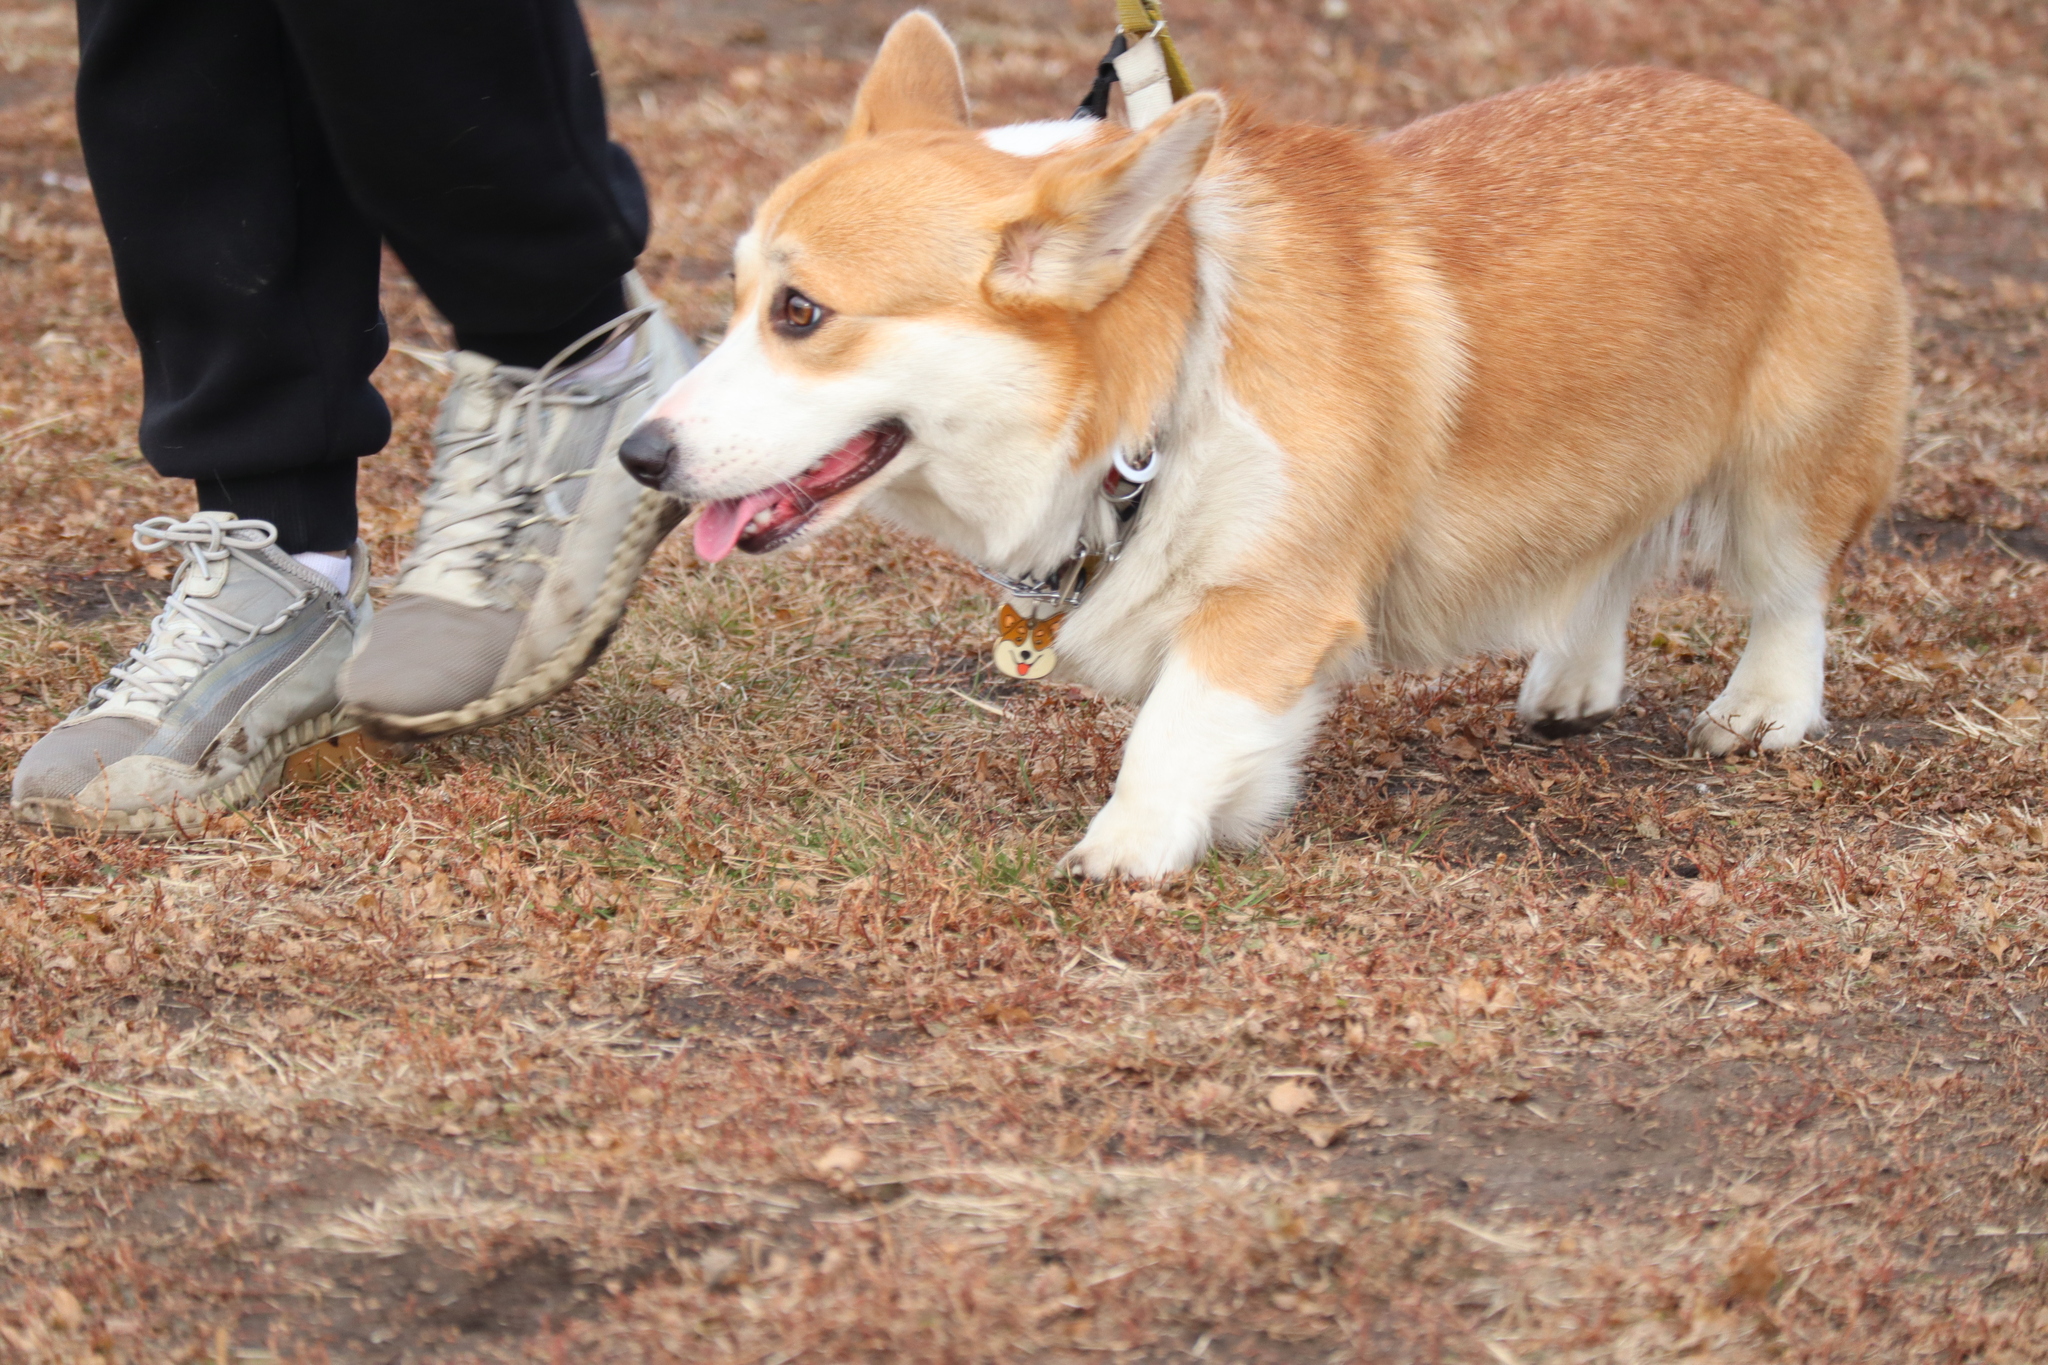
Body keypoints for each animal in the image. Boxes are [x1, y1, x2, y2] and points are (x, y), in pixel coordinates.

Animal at [618, 10, 1900, 879]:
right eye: (735, 296)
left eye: (800, 313)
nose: (637, 458)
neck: (1153, 398)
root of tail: (1791, 126)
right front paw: (1225, 811)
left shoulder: (1273, 595)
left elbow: (1177, 722)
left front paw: (1132, 844)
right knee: (1606, 555)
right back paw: (1571, 679)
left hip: (1787, 463)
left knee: (1789, 591)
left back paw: (1762, 709)